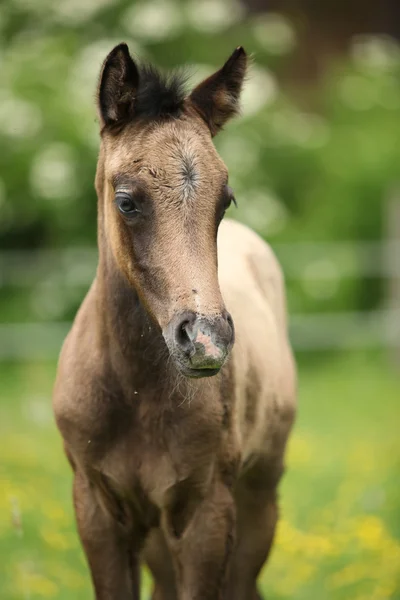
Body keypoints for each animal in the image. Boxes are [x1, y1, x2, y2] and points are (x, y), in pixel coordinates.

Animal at [52, 43, 296, 600]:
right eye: (126, 201)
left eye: (225, 200)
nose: (205, 341)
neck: (135, 390)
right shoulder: (96, 508)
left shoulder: (206, 511)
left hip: (258, 499)